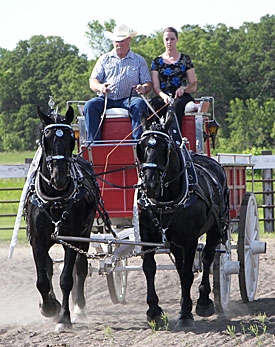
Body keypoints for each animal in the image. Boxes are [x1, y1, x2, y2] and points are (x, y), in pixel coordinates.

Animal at [24, 106, 98, 332]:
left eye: (70, 139)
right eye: (45, 138)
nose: (60, 177)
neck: (54, 200)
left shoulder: (71, 238)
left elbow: (66, 279)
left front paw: (64, 318)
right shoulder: (37, 242)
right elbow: (41, 279)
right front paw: (49, 307)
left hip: (85, 232)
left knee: (80, 268)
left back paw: (79, 307)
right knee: (48, 267)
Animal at [137, 111, 230, 332]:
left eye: (165, 147)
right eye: (141, 146)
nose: (150, 183)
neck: (165, 200)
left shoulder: (190, 240)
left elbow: (188, 273)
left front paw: (186, 314)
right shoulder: (147, 236)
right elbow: (150, 269)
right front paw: (154, 312)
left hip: (214, 229)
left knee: (207, 258)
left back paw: (203, 302)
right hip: (174, 241)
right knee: (180, 266)